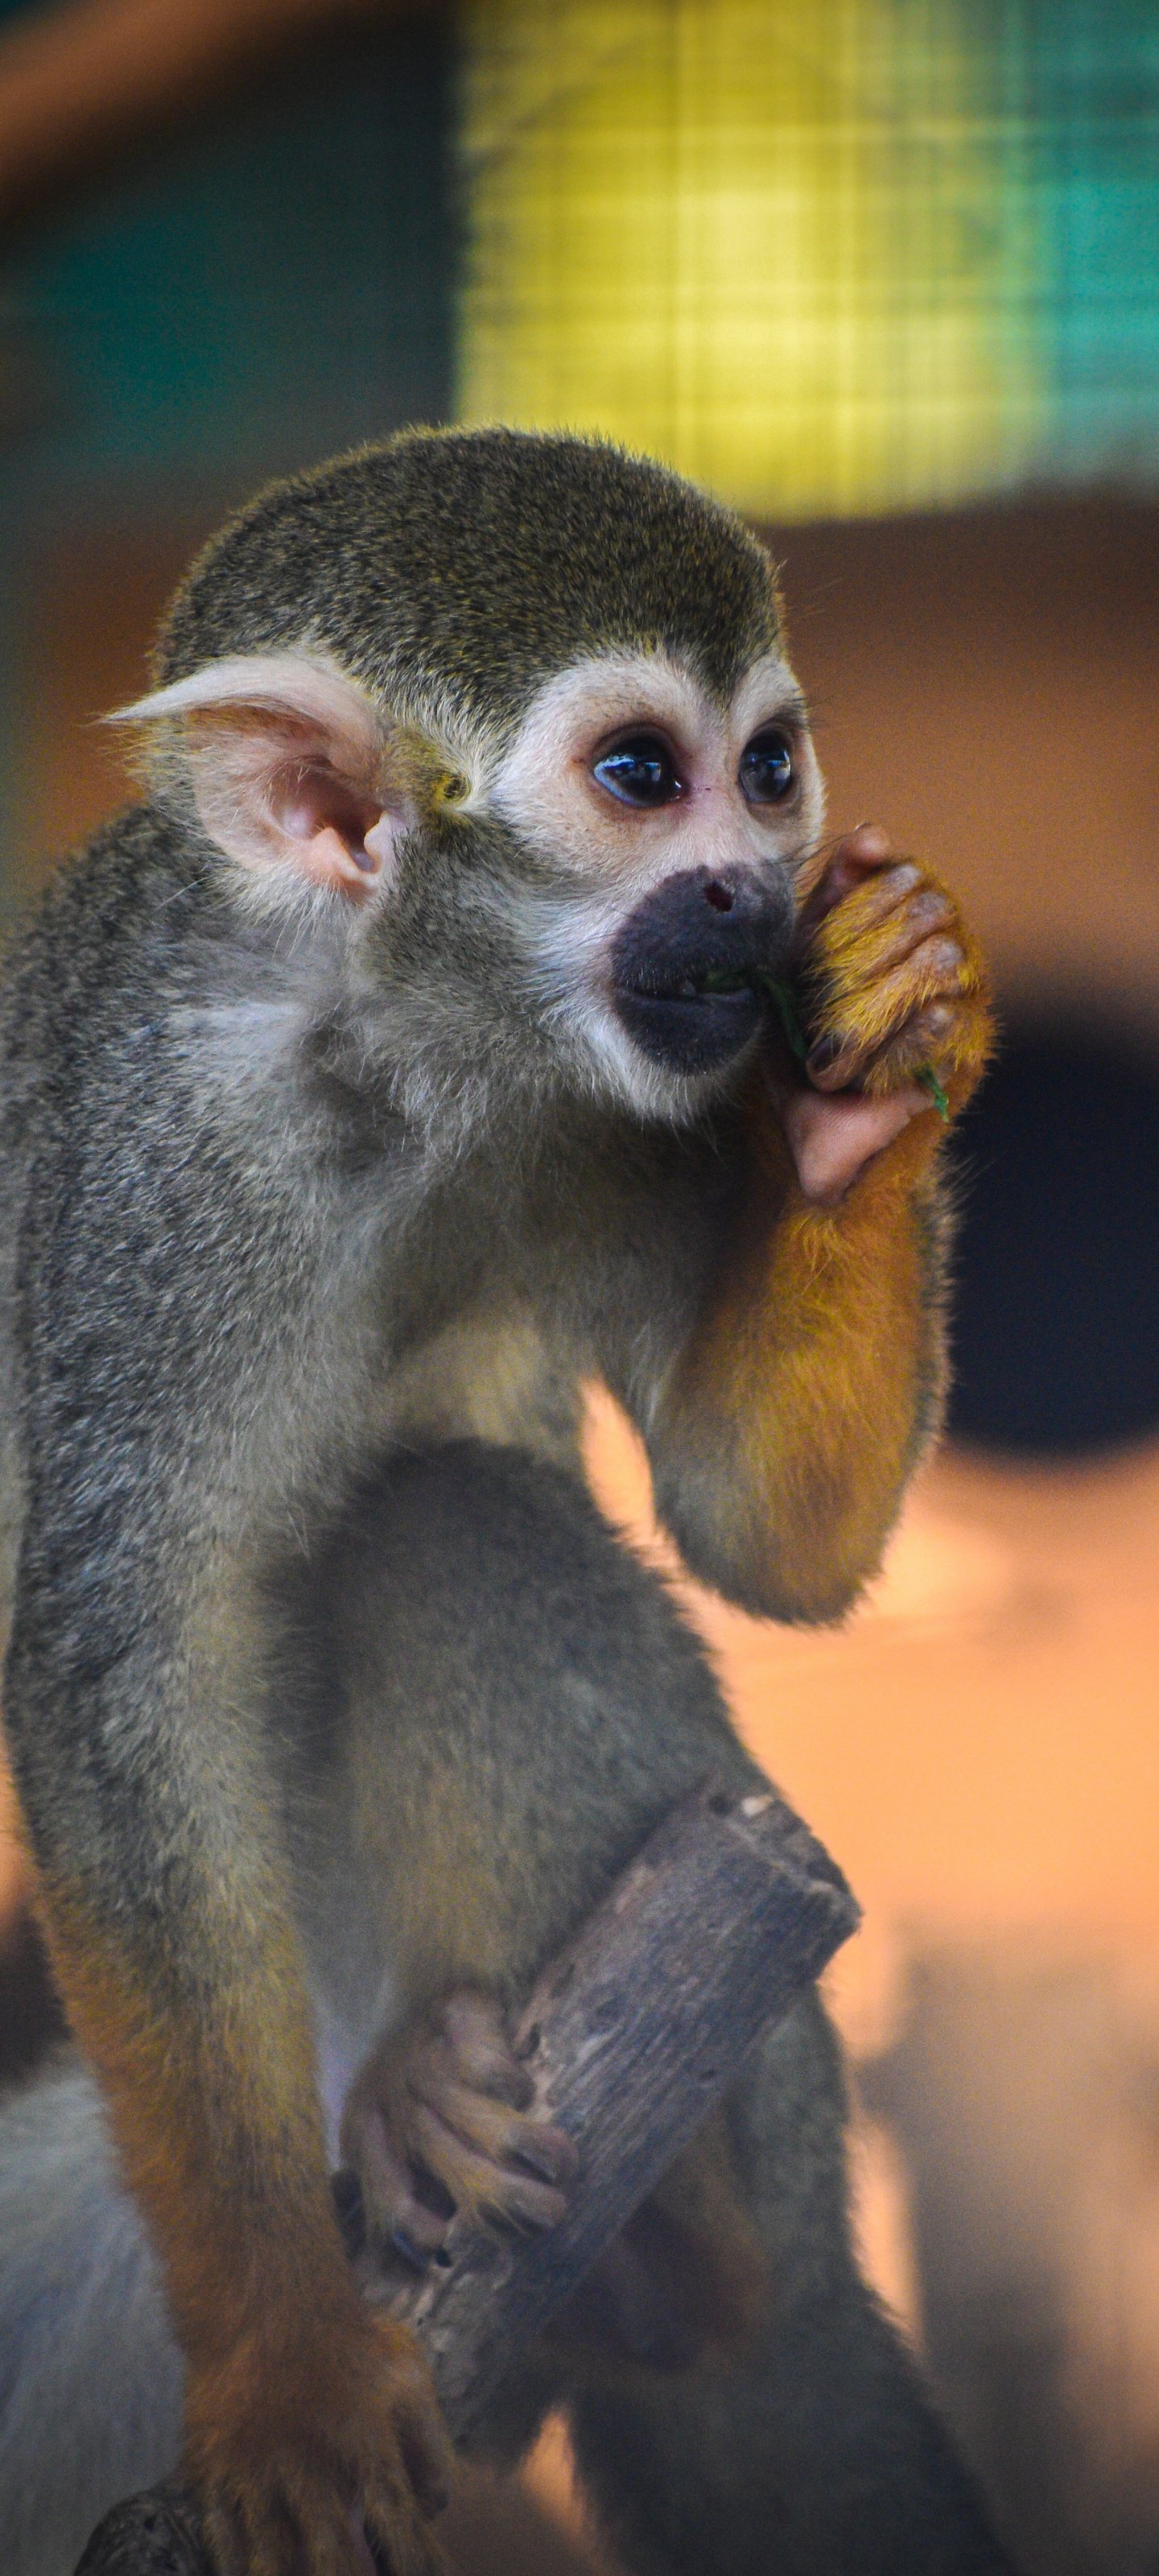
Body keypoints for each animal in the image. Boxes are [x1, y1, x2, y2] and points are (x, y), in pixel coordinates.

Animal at [0, 426, 1000, 2575]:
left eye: (768, 767)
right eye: (637, 774)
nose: (748, 891)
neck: (394, 1043)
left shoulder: (672, 1088)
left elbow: (755, 1537)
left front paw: (872, 1078)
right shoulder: (141, 1176)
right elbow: (123, 1657)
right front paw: (288, 2365)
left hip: (779, 2083)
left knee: (443, 1526)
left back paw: (676, 2268)